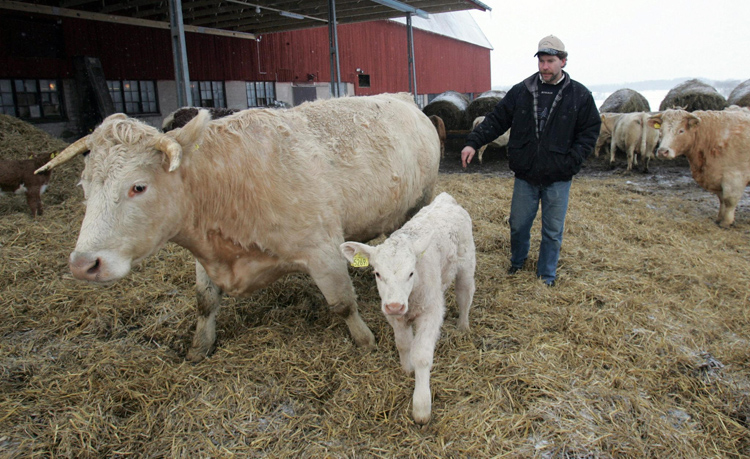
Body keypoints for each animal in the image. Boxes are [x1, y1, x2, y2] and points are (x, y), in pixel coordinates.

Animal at [36, 93, 440, 362]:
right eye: (84, 186)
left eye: (139, 186)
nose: (83, 265)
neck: (229, 182)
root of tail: (401, 98)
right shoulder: (205, 255)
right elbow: (204, 301)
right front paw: (199, 347)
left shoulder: (322, 249)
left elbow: (342, 304)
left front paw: (365, 341)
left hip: (420, 200)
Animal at [340, 192, 476, 426]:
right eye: (377, 273)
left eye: (411, 272)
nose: (395, 305)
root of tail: (446, 199)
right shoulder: (394, 315)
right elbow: (403, 344)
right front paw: (406, 369)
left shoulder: (431, 311)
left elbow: (422, 355)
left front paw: (421, 406)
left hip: (467, 264)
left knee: (464, 295)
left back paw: (463, 326)